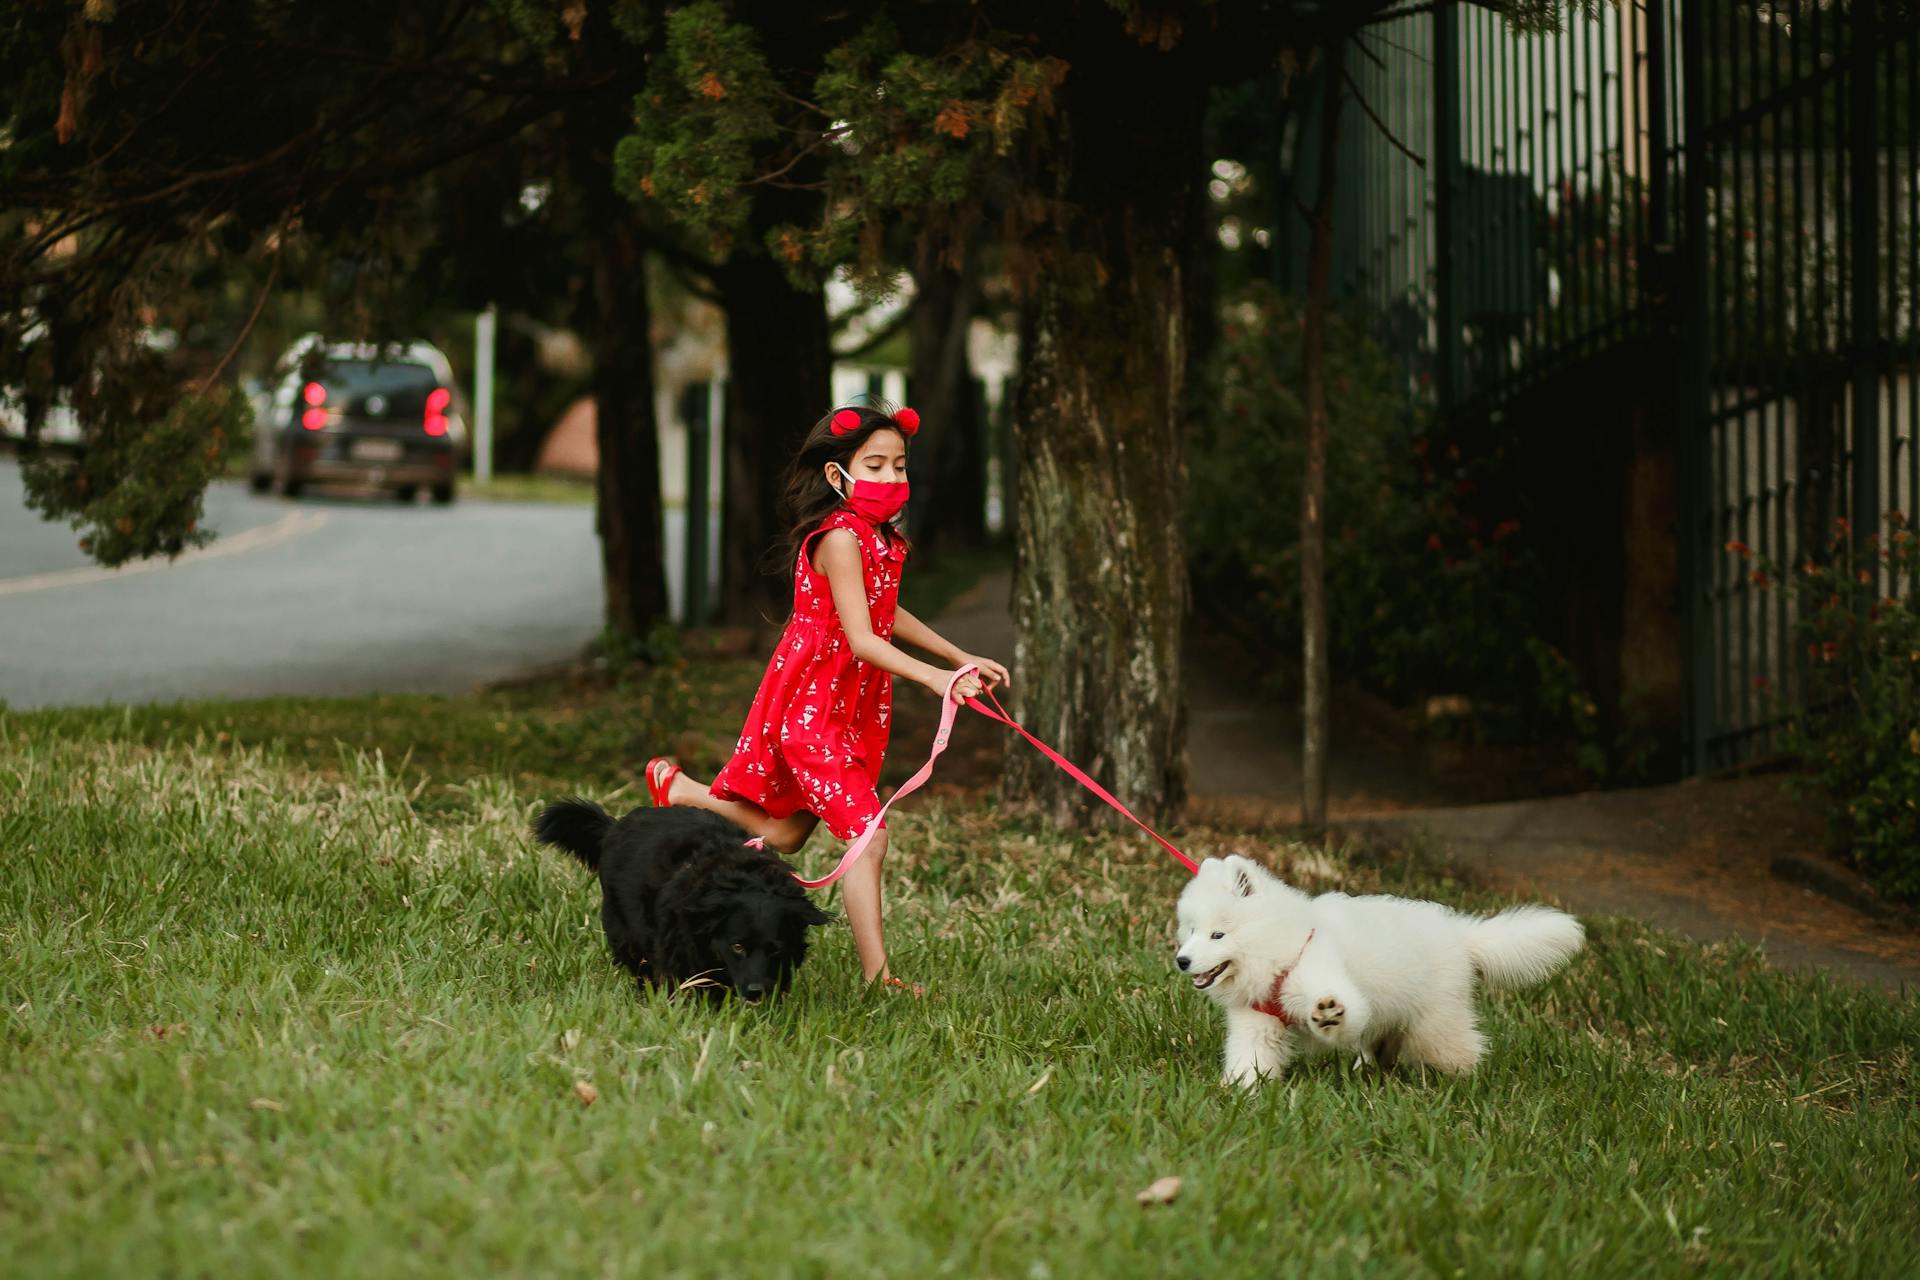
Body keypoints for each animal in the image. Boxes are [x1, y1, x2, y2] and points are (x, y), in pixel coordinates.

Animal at [1175, 855, 1582, 1090]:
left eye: (1217, 934)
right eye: (1190, 930)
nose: (1182, 960)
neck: (1282, 950)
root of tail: (1460, 934)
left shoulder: (1324, 975)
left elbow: (1343, 1009)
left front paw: (1328, 1013)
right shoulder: (1257, 1021)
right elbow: (1250, 1057)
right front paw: (1238, 1091)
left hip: (1435, 1022)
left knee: (1459, 1049)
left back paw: (1463, 1083)